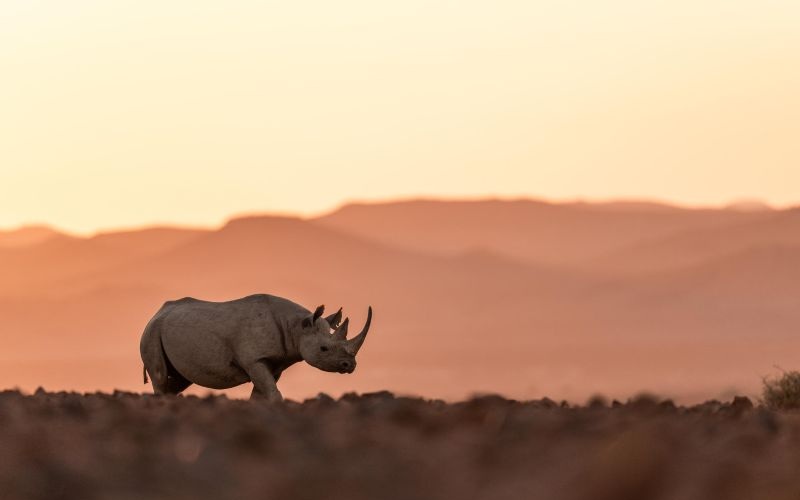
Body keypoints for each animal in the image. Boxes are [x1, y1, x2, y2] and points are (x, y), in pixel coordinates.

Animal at [139, 294, 372, 401]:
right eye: (324, 349)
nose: (349, 365)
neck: (297, 327)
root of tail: (156, 313)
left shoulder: (275, 362)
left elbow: (262, 393)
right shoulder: (254, 359)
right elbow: (271, 391)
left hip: (167, 332)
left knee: (179, 380)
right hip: (151, 333)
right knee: (160, 375)